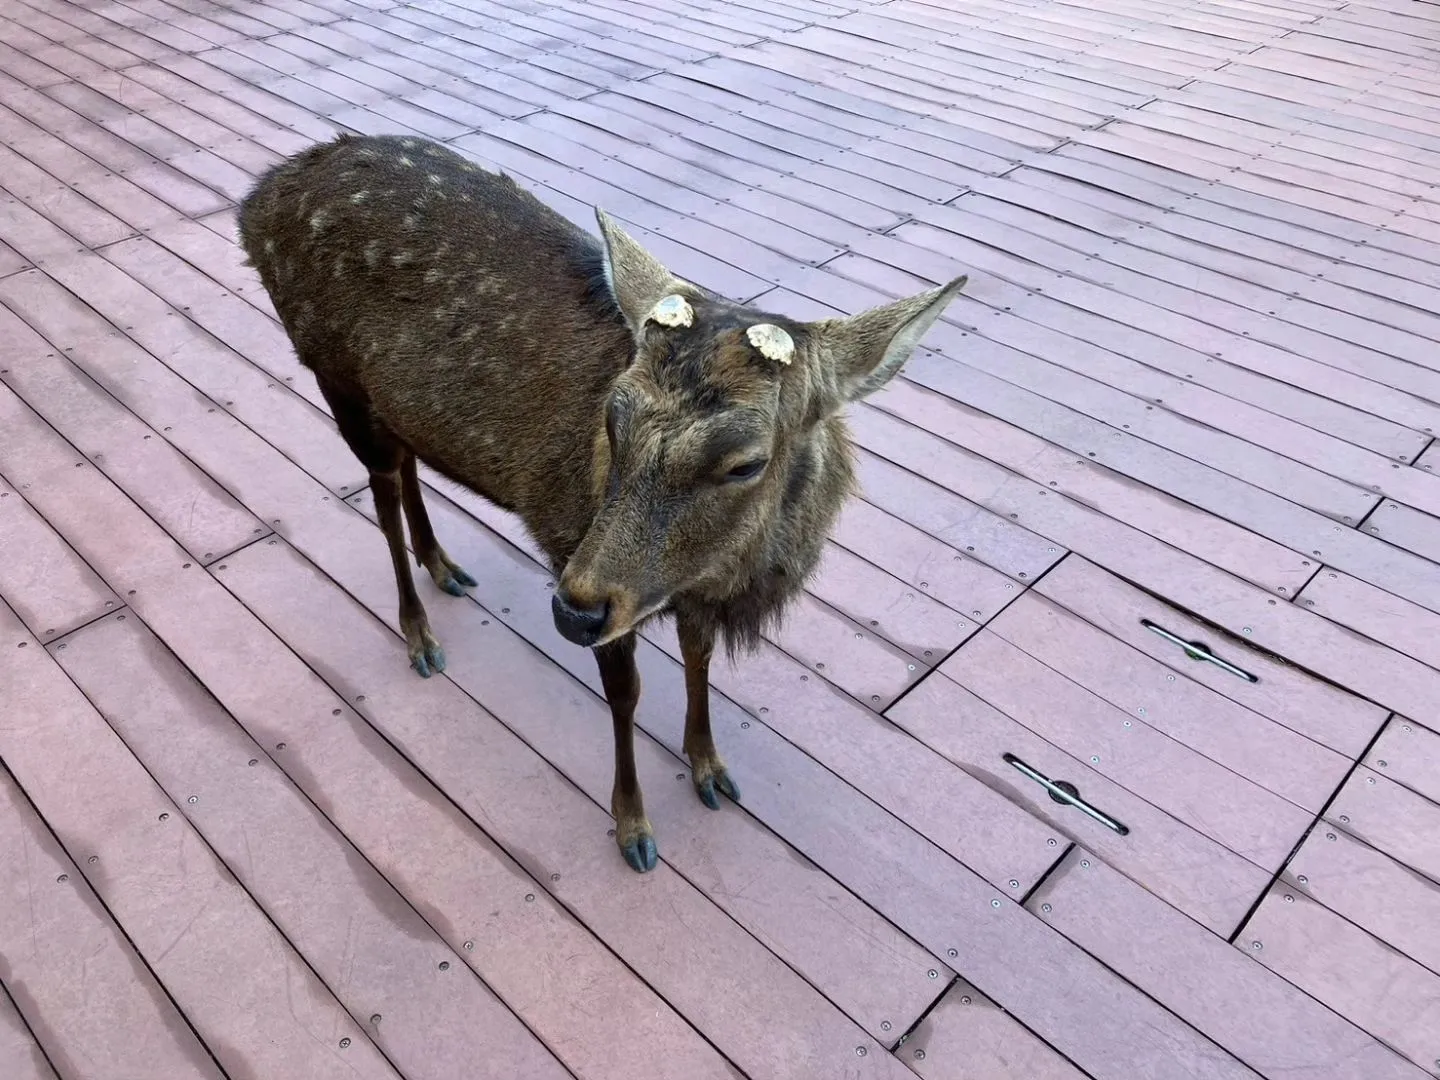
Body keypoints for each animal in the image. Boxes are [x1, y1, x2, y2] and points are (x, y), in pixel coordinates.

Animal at [239, 135, 967, 875]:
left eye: (746, 462)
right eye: (611, 420)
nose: (574, 609)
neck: (724, 578)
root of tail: (259, 197)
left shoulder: (681, 583)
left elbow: (700, 657)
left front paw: (709, 766)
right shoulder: (569, 535)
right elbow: (626, 693)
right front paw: (633, 826)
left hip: (392, 405)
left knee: (407, 465)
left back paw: (443, 566)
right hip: (332, 374)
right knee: (381, 497)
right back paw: (418, 633)